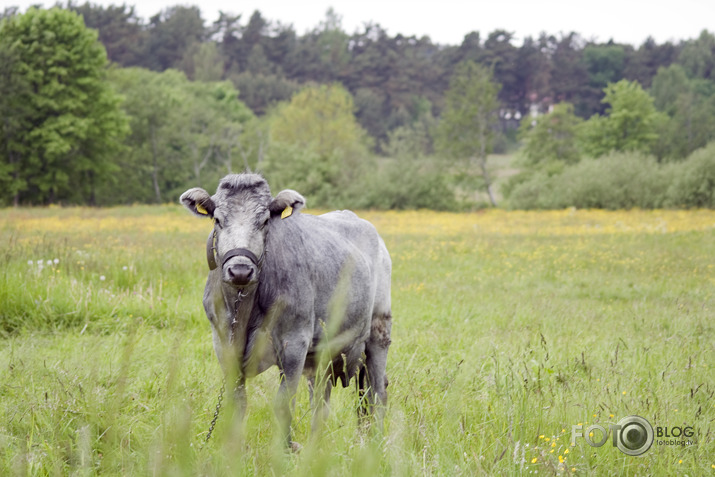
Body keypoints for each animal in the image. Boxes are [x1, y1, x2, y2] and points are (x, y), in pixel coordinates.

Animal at [179, 173, 392, 444]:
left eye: (264, 221)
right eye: (217, 219)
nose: (240, 270)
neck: (245, 308)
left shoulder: (294, 344)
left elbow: (283, 404)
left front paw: (284, 448)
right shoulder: (224, 345)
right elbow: (237, 402)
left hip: (378, 331)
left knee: (377, 391)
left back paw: (376, 441)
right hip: (323, 354)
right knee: (323, 401)